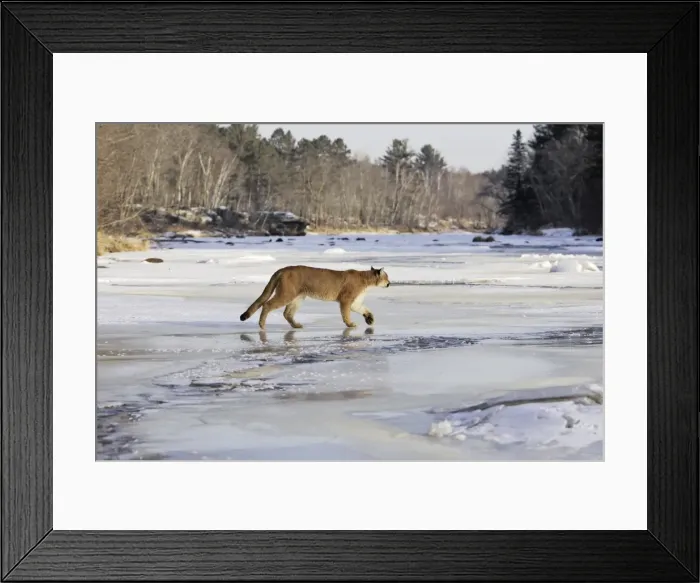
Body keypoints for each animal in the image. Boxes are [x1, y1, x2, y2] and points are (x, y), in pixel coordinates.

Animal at [239, 265, 391, 330]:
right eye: (387, 277)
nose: (389, 283)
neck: (366, 281)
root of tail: (282, 269)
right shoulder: (346, 300)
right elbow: (346, 314)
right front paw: (350, 324)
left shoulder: (355, 303)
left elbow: (363, 309)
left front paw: (370, 319)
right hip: (286, 294)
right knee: (267, 305)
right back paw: (262, 325)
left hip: (298, 297)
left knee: (287, 313)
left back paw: (296, 325)